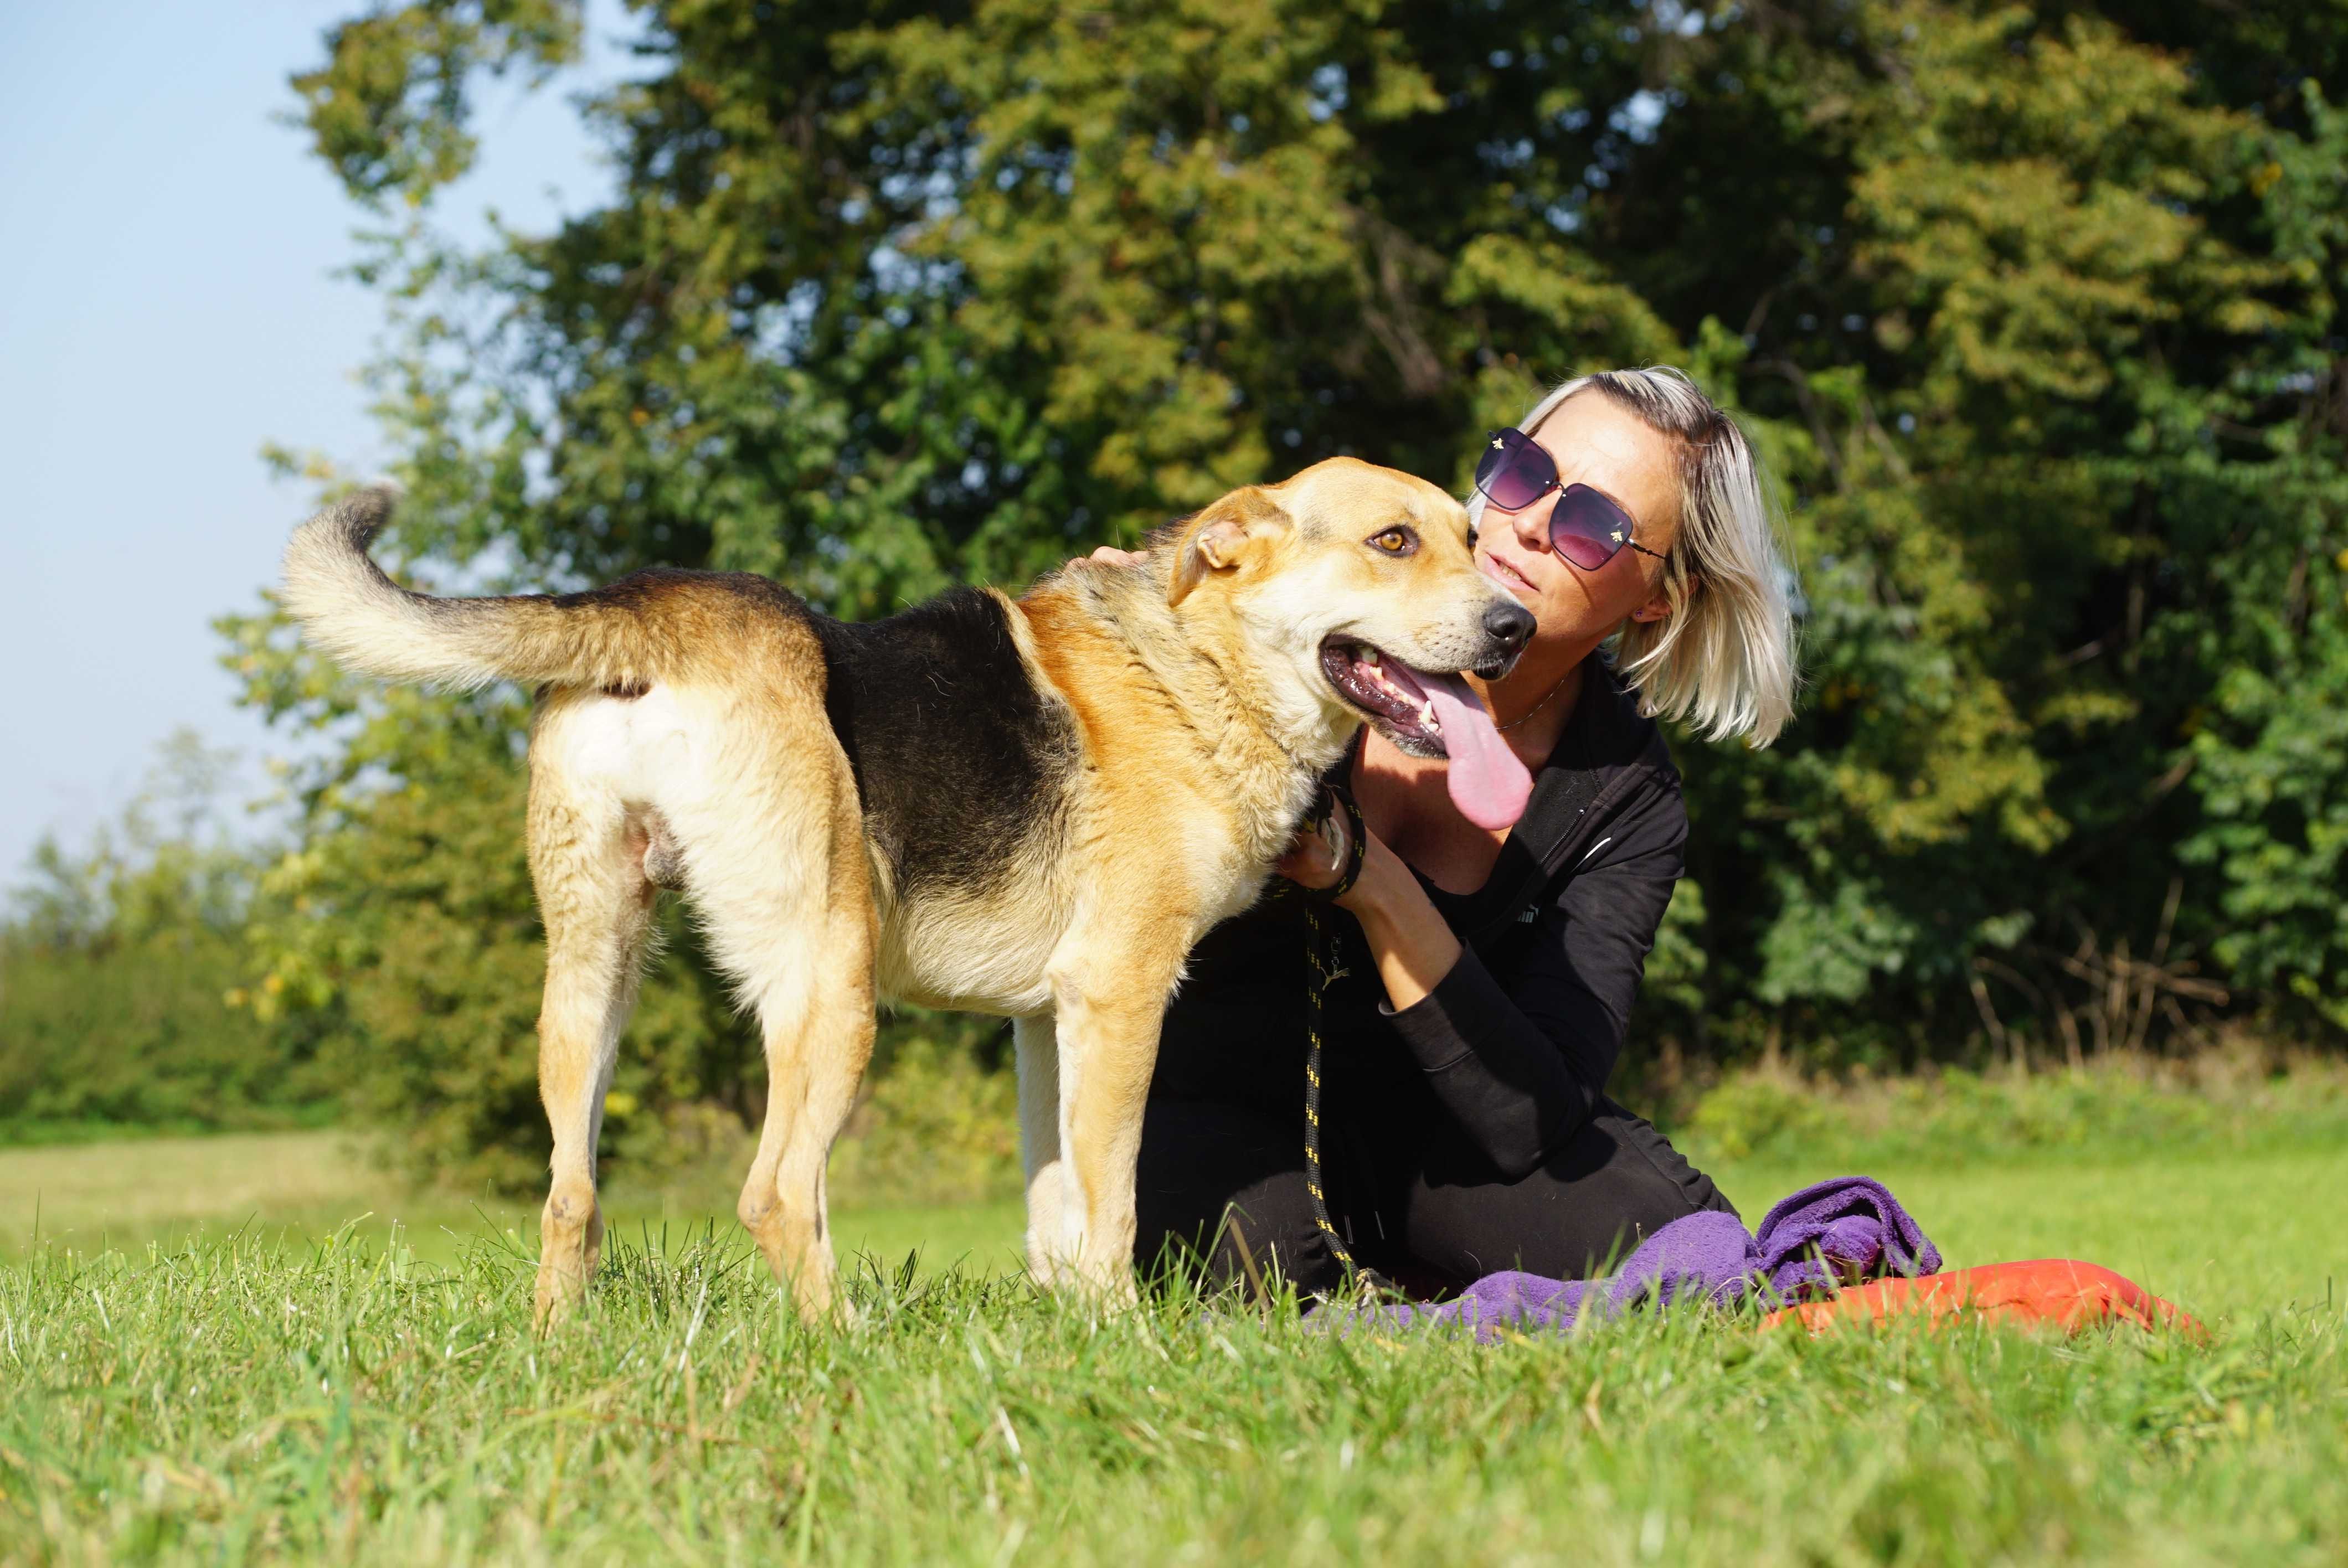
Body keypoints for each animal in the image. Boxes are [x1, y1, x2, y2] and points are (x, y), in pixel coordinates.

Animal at [284, 462, 1531, 1324]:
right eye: (1390, 542)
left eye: (1474, 541)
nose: (1515, 626)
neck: (1196, 665)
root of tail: (654, 605)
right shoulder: (1119, 994)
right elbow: (1112, 1202)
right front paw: (1127, 1340)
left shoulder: (1046, 1022)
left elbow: (1054, 1207)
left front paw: (1068, 1337)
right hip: (830, 987)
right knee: (776, 1195)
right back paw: (846, 1344)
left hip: (595, 974)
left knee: (571, 1196)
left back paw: (562, 1354)